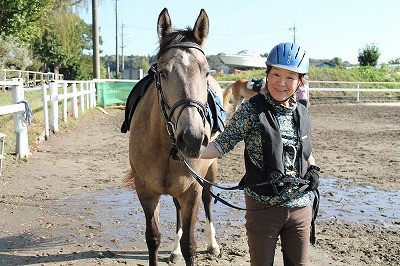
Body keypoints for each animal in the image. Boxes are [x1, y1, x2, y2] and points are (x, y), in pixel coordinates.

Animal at [124, 8, 220, 266]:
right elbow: (153, 238)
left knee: (209, 202)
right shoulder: (146, 190)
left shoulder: (192, 190)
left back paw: (213, 244)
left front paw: (194, 246)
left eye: (206, 71)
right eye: (163, 72)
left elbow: (190, 245)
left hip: (211, 170)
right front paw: (171, 247)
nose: (192, 138)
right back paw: (174, 250)